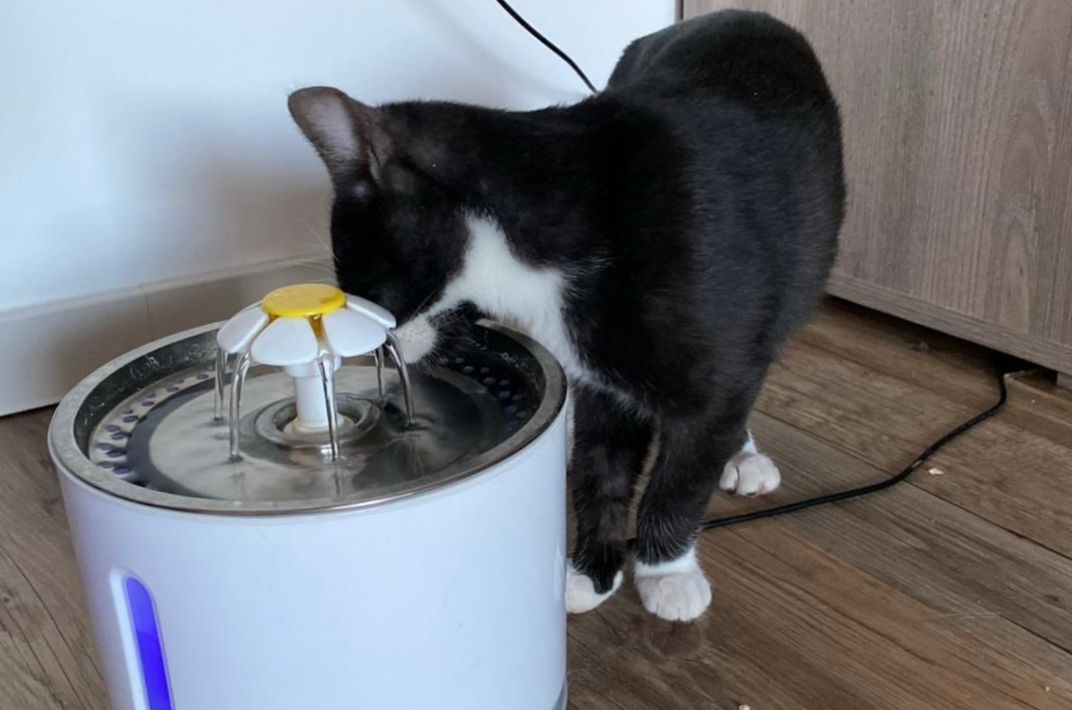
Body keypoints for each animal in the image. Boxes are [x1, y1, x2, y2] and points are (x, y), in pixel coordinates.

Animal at [287, 9, 844, 621]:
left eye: (360, 288)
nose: (371, 353)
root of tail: (743, 14)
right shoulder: (601, 381)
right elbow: (601, 469)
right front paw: (590, 572)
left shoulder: (712, 354)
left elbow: (682, 474)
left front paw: (665, 572)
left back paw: (740, 454)